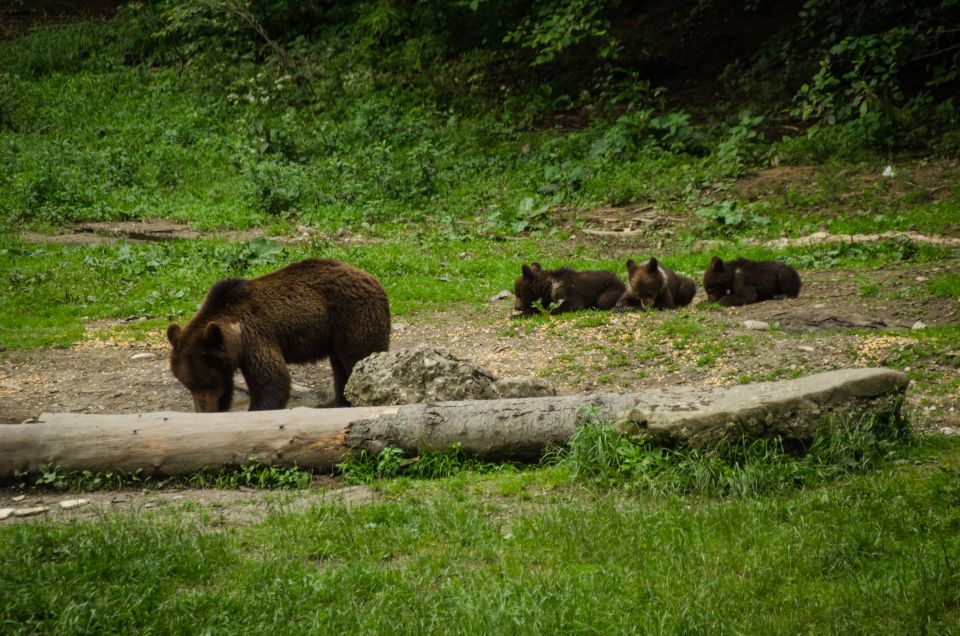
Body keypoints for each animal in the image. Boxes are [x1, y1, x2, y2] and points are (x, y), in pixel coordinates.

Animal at [166, 258, 390, 412]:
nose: (205, 410)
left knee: (359, 358)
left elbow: (272, 380)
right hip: (335, 334)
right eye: (188, 384)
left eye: (206, 382)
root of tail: (373, 279)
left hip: (353, 318)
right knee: (340, 367)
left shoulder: (255, 337)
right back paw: (337, 402)